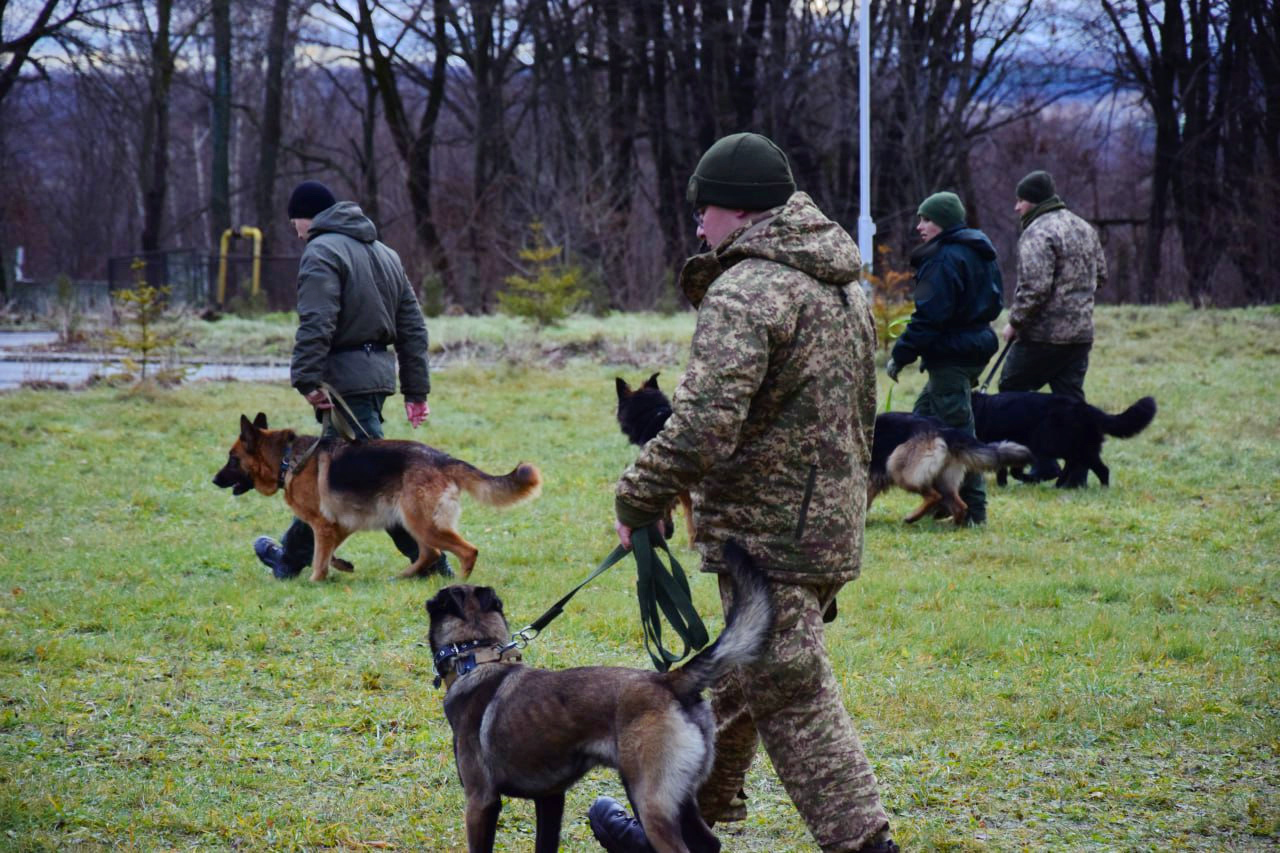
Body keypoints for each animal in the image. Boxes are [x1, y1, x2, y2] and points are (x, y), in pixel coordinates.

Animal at [213, 412, 540, 578]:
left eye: (232, 459)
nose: (214, 480)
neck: (286, 458)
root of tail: (443, 459)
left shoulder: (322, 524)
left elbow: (318, 560)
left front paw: (315, 581)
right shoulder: (338, 525)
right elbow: (326, 554)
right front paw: (341, 566)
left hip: (423, 523)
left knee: (467, 551)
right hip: (413, 522)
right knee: (431, 553)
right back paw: (403, 576)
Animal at [427, 537, 768, 850]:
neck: (478, 657)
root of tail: (670, 682)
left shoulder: (480, 801)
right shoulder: (550, 798)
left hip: (650, 801)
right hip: (677, 798)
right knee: (709, 842)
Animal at [865, 412, 1034, 525]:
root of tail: (945, 430)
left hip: (898, 468)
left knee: (934, 496)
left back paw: (913, 517)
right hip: (942, 480)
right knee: (960, 506)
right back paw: (953, 527)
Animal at [967, 389, 1162, 484]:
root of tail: (1085, 408)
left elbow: (1012, 471)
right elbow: (1007, 471)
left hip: (1052, 443)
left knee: (1077, 467)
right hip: (1081, 448)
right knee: (1089, 467)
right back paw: (1061, 484)